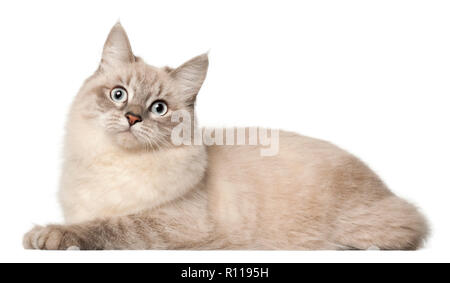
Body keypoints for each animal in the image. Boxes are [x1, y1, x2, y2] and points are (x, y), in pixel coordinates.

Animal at [23, 23, 428, 251]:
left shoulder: (170, 224)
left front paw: (49, 236)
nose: (133, 117)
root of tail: (384, 188)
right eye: (118, 94)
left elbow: (110, 226)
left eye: (159, 108)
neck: (114, 165)